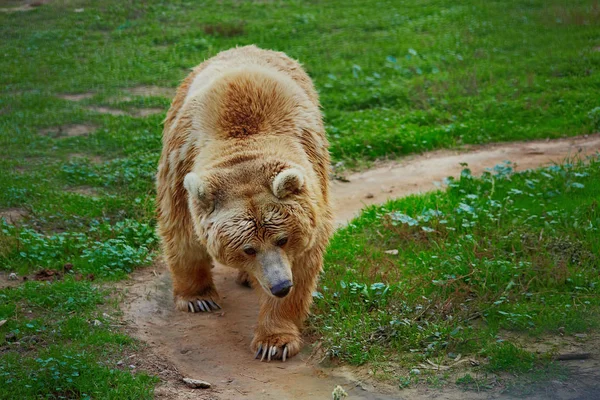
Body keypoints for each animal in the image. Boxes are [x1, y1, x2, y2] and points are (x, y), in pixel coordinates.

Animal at [155, 44, 332, 362]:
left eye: (283, 239)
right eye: (248, 248)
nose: (280, 286)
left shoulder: (312, 172)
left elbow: (304, 262)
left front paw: (274, 342)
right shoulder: (182, 158)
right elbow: (181, 229)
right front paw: (198, 298)